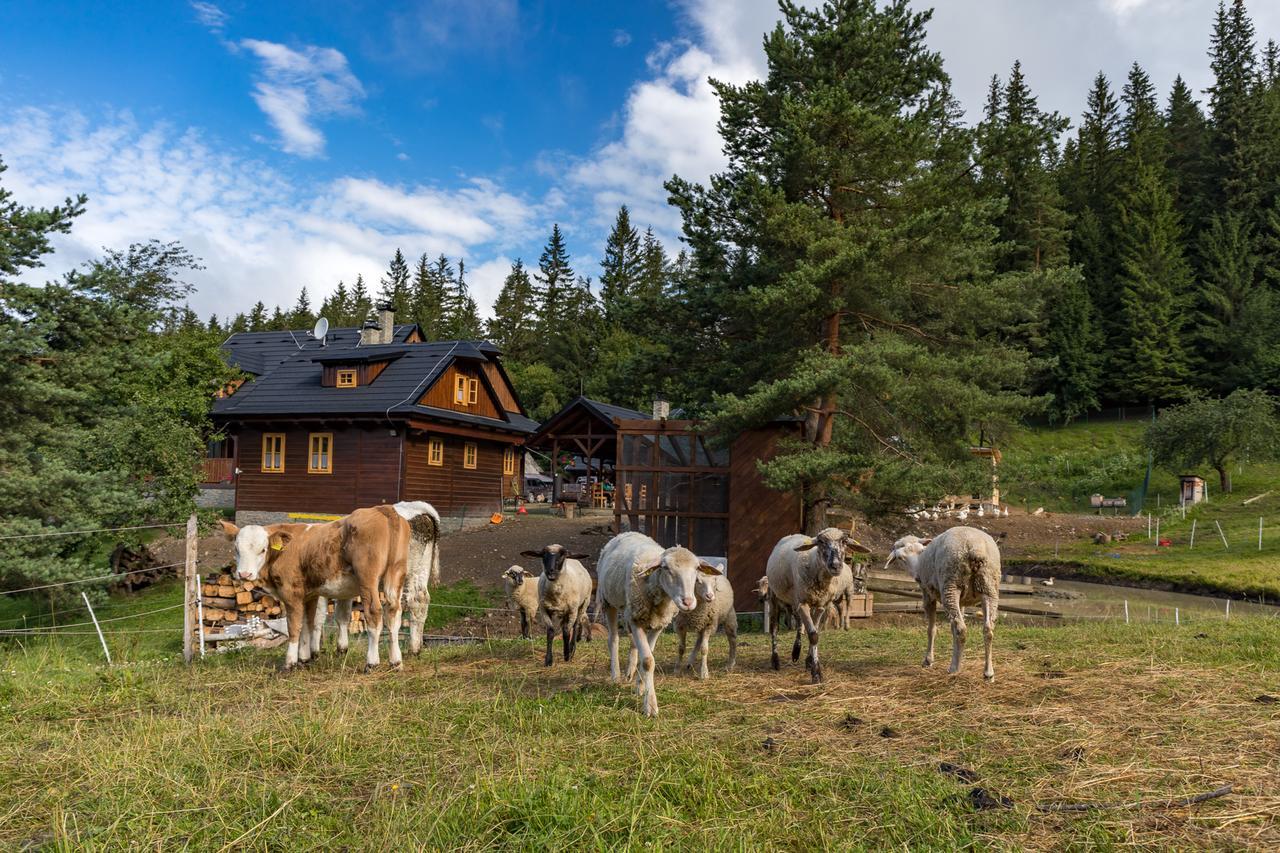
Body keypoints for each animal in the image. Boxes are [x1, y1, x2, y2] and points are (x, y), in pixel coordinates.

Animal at [593, 532, 727, 717]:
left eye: (696, 569)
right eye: (666, 568)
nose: (688, 602)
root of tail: (628, 533)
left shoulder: (657, 624)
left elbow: (648, 655)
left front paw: (641, 687)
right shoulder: (636, 620)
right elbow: (648, 661)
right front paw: (650, 706)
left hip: (630, 612)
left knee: (632, 643)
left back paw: (630, 673)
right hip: (609, 602)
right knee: (613, 639)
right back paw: (616, 676)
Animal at [762, 527, 875, 681]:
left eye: (844, 541)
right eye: (821, 542)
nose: (836, 566)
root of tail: (791, 535)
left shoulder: (821, 605)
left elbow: (815, 631)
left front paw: (809, 661)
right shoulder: (803, 603)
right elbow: (813, 635)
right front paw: (816, 673)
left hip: (798, 601)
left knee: (799, 624)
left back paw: (796, 651)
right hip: (775, 595)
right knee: (774, 628)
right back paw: (775, 660)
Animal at [885, 525, 1003, 676]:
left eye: (900, 558)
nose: (917, 576)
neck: (918, 561)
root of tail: (974, 547)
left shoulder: (928, 594)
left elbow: (931, 629)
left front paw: (928, 660)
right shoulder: (962, 601)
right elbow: (952, 628)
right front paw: (959, 657)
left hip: (950, 584)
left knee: (961, 629)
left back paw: (954, 669)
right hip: (988, 587)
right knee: (987, 629)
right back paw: (988, 672)